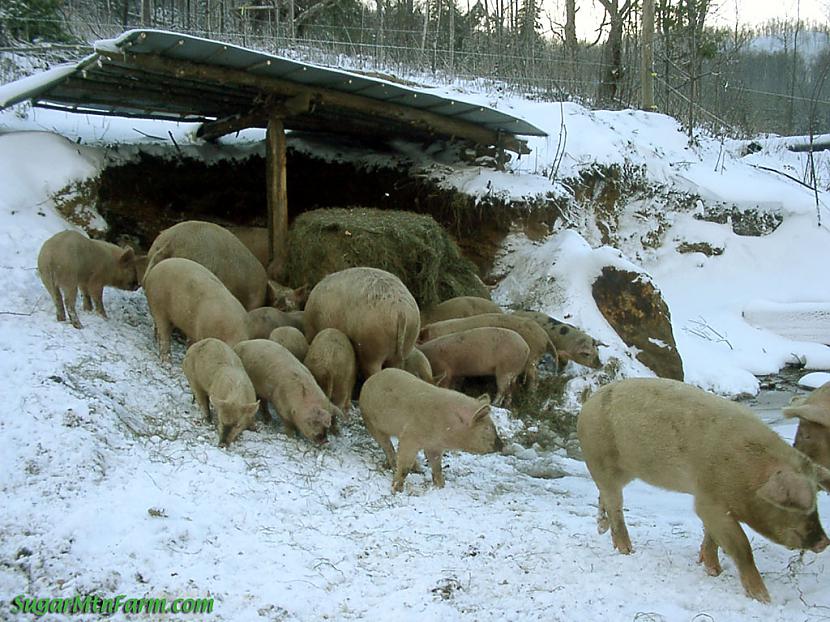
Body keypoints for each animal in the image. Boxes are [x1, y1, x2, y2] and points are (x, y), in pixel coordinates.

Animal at [358, 368, 500, 494]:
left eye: (493, 426)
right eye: (486, 428)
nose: (502, 445)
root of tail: (370, 379)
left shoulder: (434, 446)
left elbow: (437, 466)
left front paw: (441, 486)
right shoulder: (411, 436)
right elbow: (404, 465)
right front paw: (396, 490)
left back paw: (418, 468)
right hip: (370, 422)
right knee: (388, 448)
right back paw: (397, 466)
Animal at [580, 376, 830, 604]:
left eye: (816, 500)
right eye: (794, 503)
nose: (824, 542)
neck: (749, 476)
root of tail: (588, 403)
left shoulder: (716, 504)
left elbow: (713, 538)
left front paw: (712, 570)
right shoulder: (709, 500)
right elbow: (741, 546)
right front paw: (764, 599)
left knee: (604, 498)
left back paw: (602, 529)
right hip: (601, 460)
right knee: (615, 505)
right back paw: (627, 551)